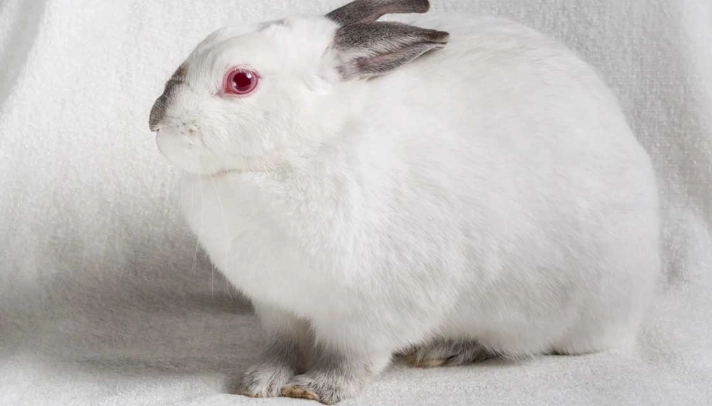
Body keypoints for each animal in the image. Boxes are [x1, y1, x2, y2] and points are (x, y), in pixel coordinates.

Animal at [148, 0, 661, 403]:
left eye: (242, 80)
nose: (156, 120)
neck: (305, 148)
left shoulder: (374, 315)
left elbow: (354, 361)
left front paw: (317, 389)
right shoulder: (278, 307)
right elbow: (283, 348)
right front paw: (259, 382)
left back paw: (448, 349)